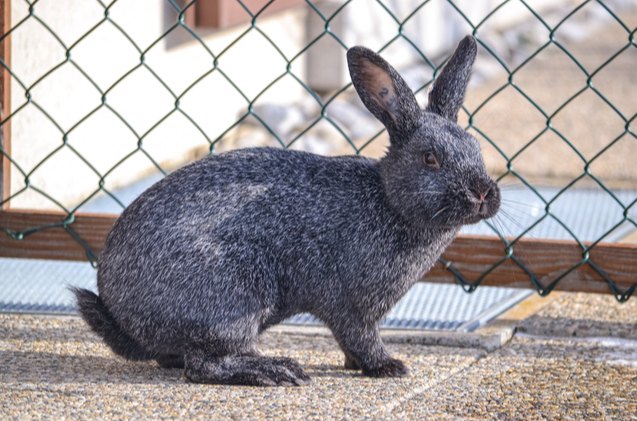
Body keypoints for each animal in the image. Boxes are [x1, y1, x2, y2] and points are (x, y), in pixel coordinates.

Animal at [74, 34, 500, 386]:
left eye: (476, 149)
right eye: (430, 159)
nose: (484, 193)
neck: (389, 202)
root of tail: (120, 313)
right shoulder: (350, 305)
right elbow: (360, 338)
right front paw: (387, 367)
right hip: (237, 292)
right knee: (203, 365)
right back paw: (275, 370)